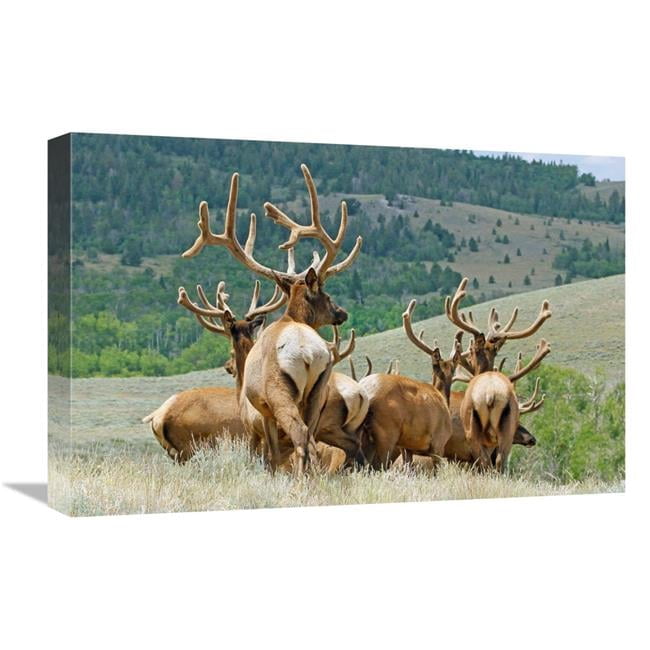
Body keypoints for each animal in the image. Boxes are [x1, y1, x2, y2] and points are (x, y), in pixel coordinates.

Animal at [181, 164, 362, 474]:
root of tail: (307, 351)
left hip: (280, 393)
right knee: (316, 439)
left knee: (302, 436)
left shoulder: (260, 416)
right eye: (327, 295)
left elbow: (271, 457)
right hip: (317, 393)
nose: (342, 312)